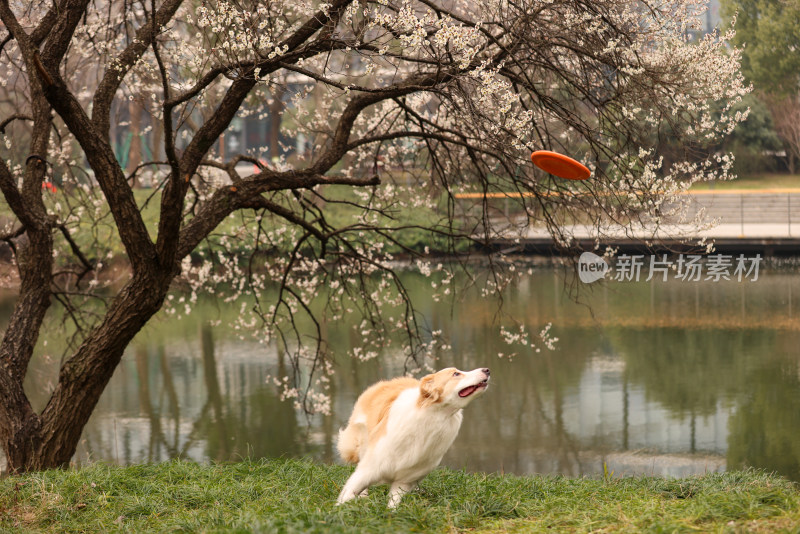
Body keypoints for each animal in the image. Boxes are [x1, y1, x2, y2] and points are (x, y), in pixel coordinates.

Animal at [336, 368, 490, 510]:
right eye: (456, 373)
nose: (487, 370)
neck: (435, 415)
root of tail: (383, 383)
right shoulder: (371, 467)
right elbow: (349, 491)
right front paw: (339, 510)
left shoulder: (405, 479)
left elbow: (394, 501)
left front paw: (391, 513)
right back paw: (363, 496)